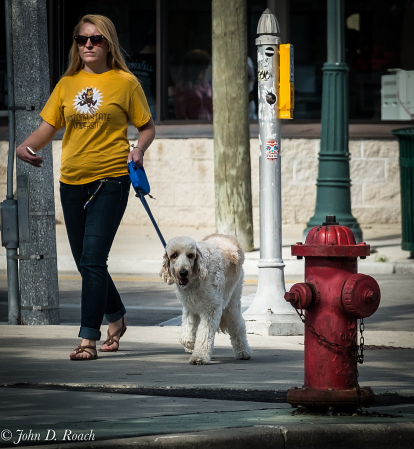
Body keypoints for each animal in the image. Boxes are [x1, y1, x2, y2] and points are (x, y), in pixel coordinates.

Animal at [159, 234, 251, 364]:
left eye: (190, 255)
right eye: (174, 255)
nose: (183, 272)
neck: (195, 279)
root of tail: (227, 236)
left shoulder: (211, 309)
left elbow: (204, 334)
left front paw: (200, 357)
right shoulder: (190, 308)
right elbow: (185, 335)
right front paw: (191, 345)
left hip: (232, 302)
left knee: (238, 326)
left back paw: (243, 352)